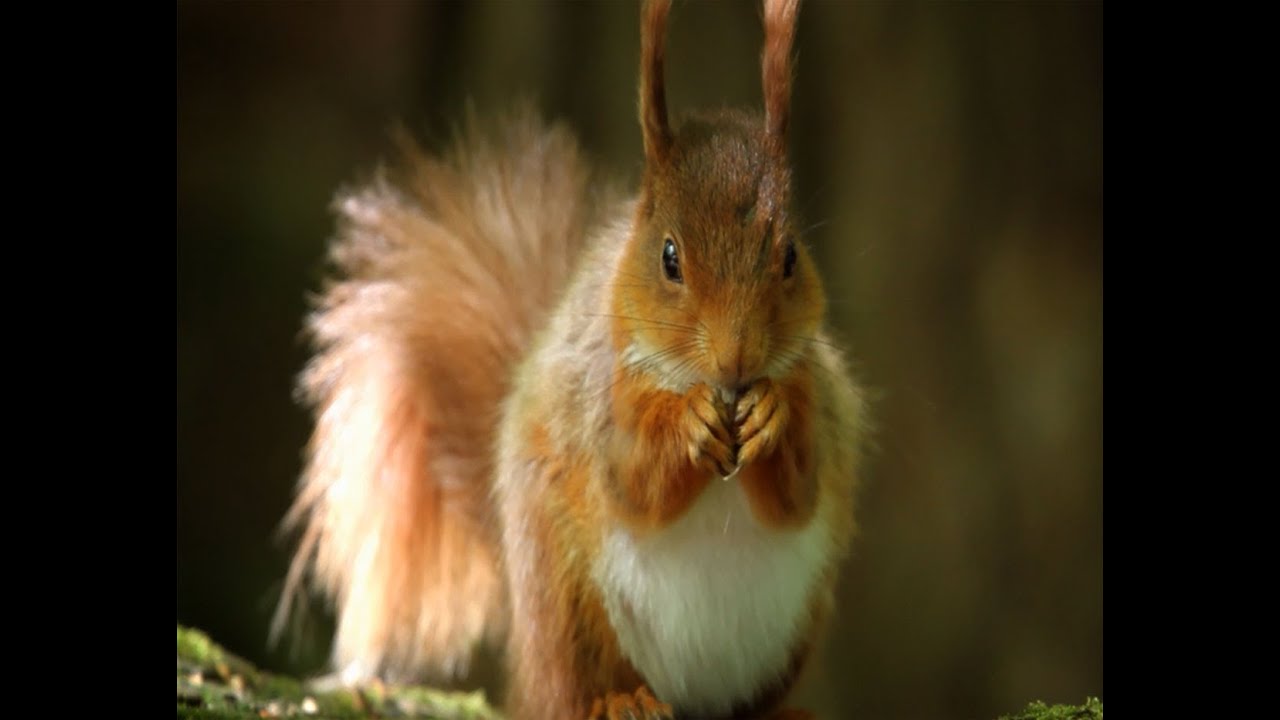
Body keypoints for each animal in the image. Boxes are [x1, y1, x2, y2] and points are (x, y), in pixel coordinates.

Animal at [275, 0, 867, 718]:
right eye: (669, 256)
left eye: (790, 257)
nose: (737, 359)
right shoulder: (600, 398)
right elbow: (634, 482)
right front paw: (687, 423)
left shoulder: (820, 399)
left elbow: (798, 492)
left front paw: (772, 413)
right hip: (567, 605)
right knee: (573, 690)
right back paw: (621, 701)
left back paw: (782, 709)